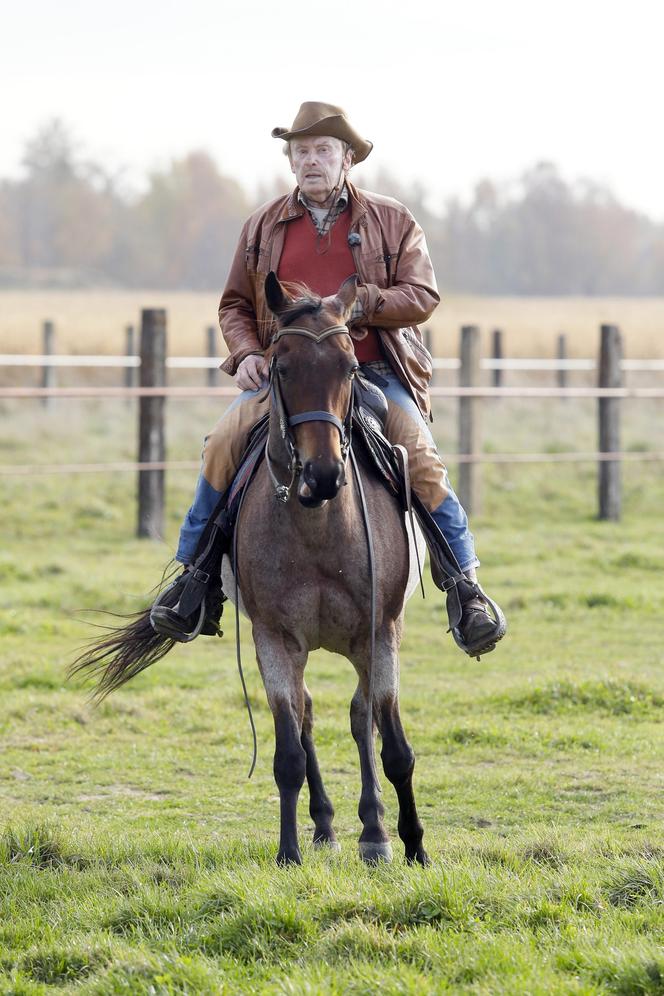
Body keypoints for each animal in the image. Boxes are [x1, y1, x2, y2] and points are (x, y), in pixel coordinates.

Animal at [72, 276, 430, 868]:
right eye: (279, 367)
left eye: (350, 367)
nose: (324, 473)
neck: (320, 527)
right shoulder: (275, 640)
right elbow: (288, 751)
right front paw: (289, 852)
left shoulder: (381, 633)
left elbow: (395, 746)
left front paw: (414, 847)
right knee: (309, 717)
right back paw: (327, 825)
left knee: (361, 718)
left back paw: (374, 832)